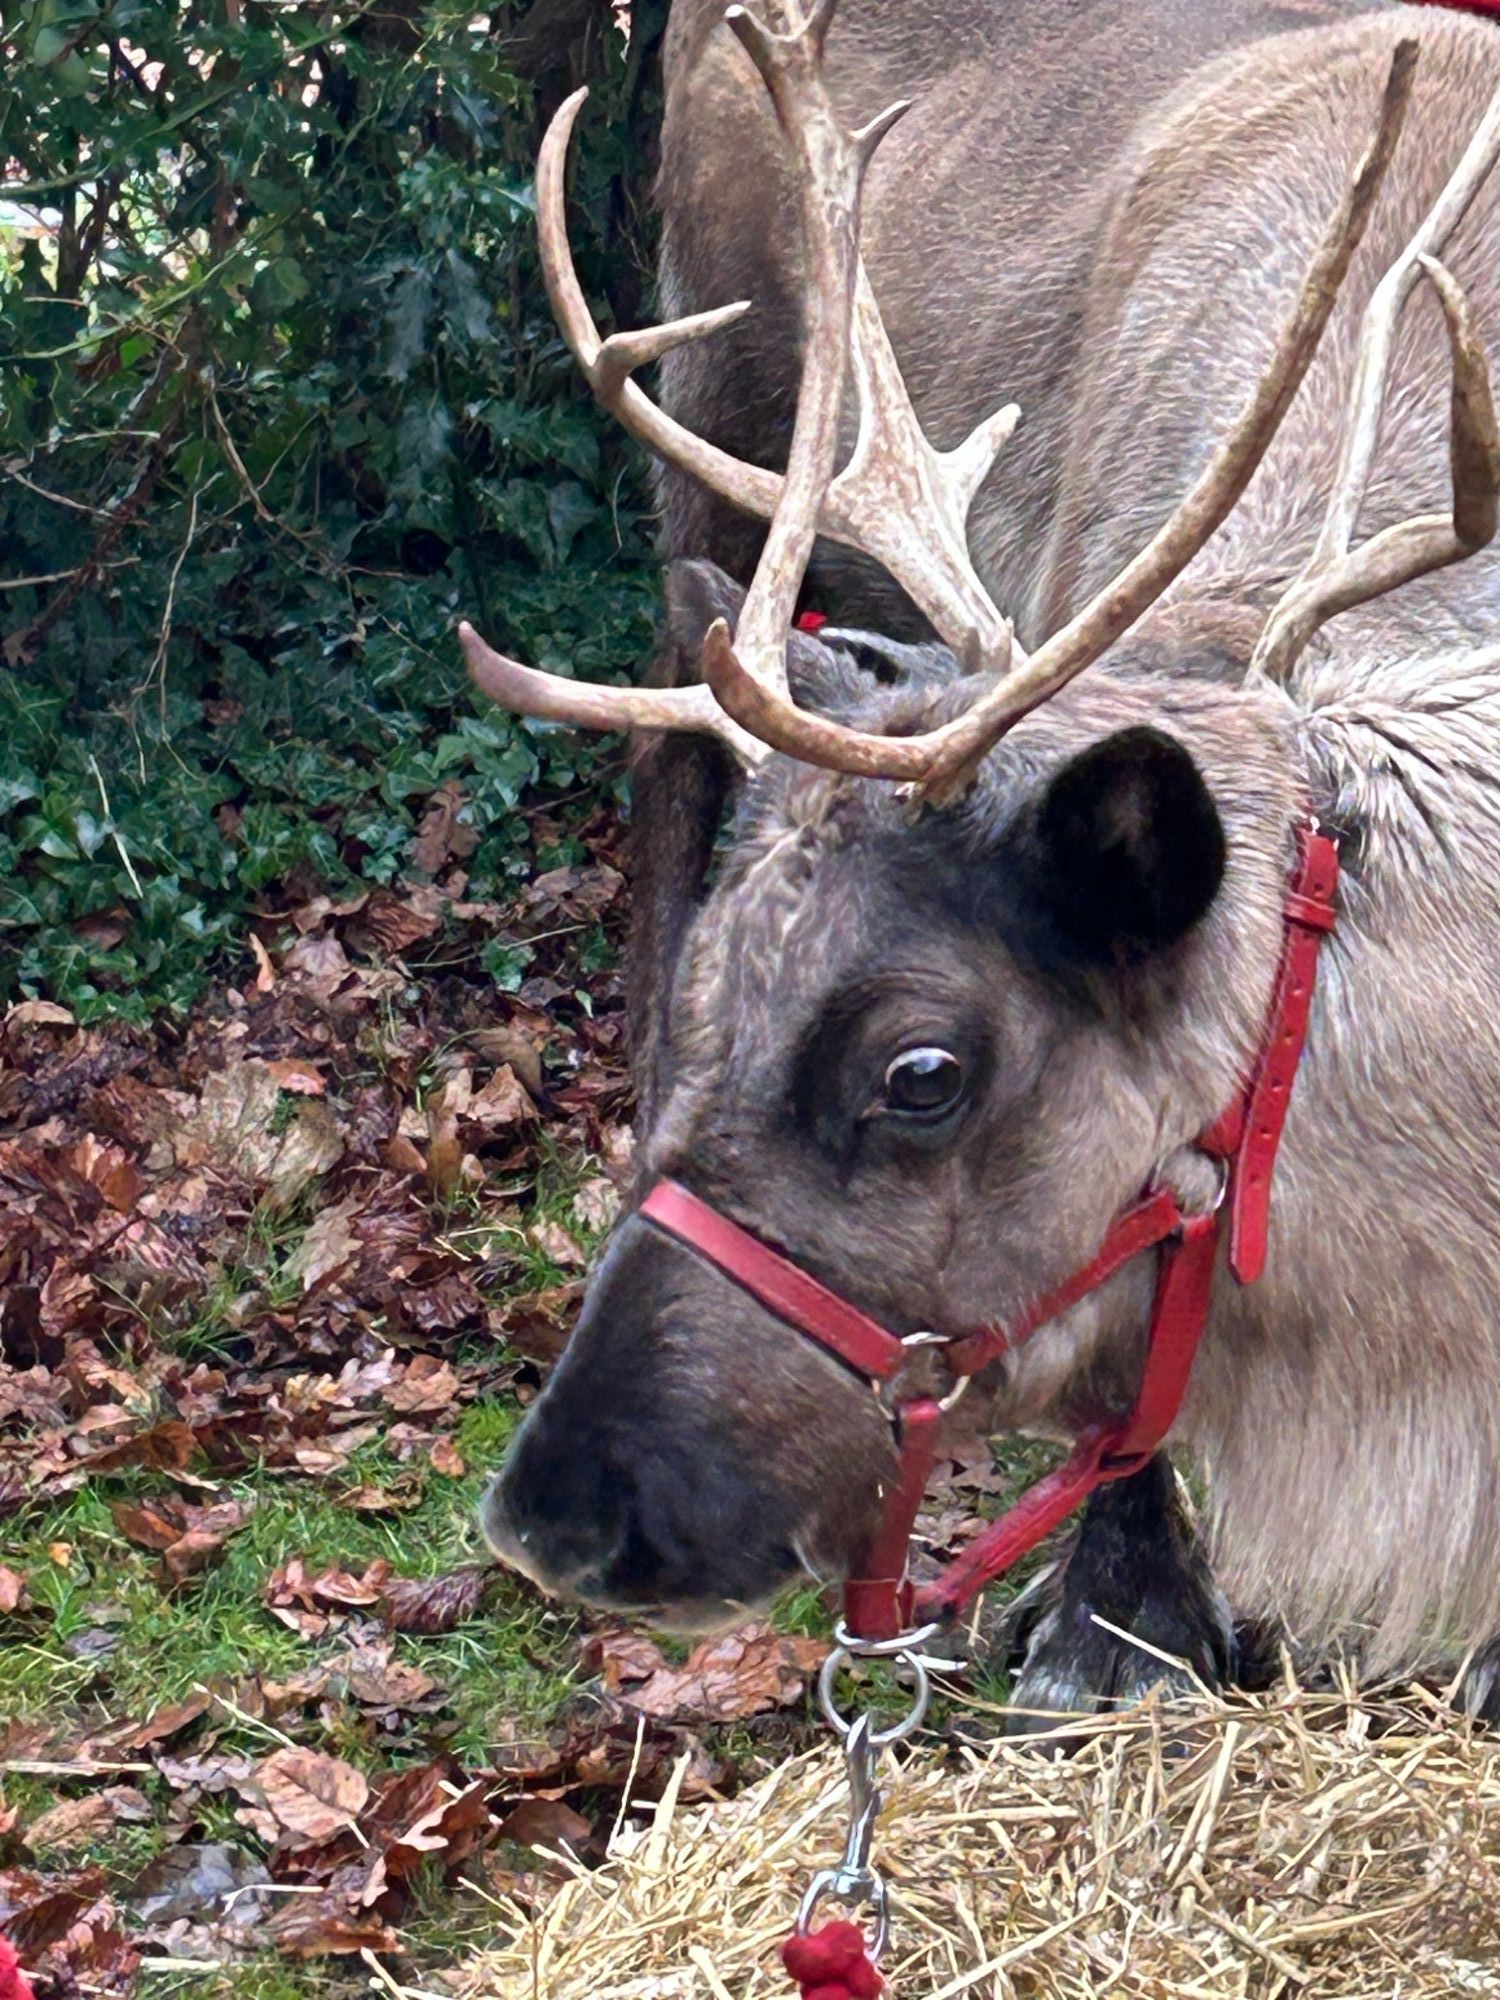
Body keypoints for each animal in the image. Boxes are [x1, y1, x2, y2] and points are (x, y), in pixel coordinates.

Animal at [465, 0, 1500, 1725]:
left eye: (922, 1072)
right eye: (722, 986)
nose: (555, 1514)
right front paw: (1120, 1630)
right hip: (715, 401)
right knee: (673, 731)